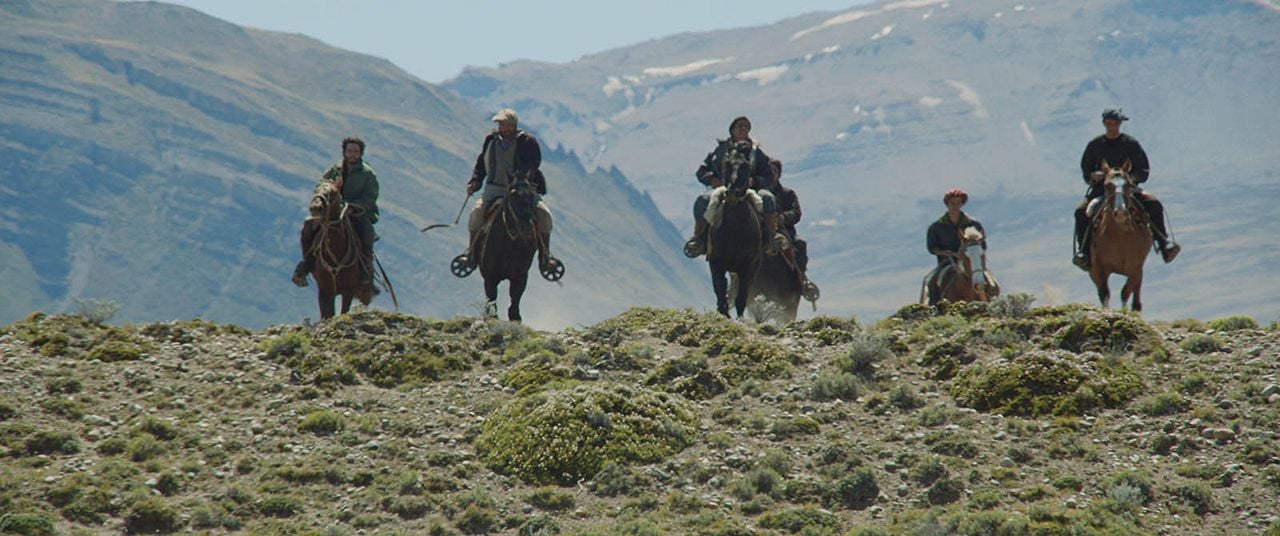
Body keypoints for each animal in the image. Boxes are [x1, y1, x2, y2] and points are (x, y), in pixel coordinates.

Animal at [1085, 159, 1157, 310]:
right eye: (1107, 185)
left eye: (1128, 184)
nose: (1121, 213)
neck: (1119, 237)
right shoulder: (1100, 270)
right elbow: (1105, 295)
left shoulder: (1135, 269)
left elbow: (1125, 293)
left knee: (1136, 301)